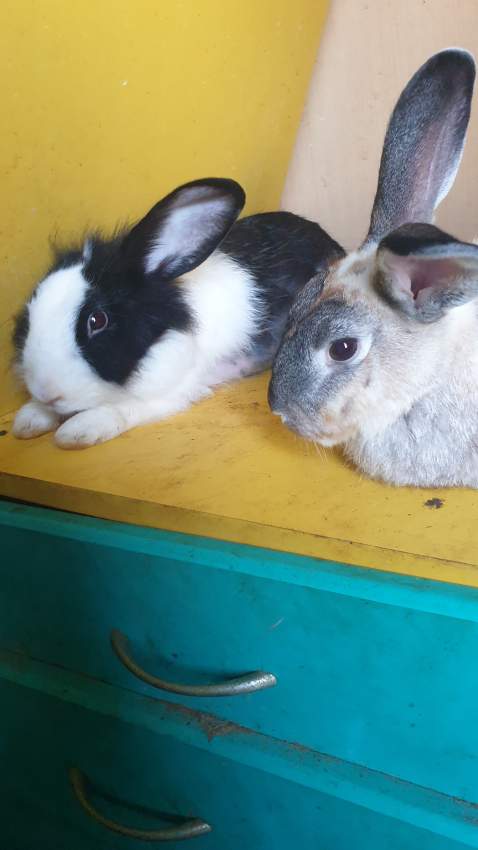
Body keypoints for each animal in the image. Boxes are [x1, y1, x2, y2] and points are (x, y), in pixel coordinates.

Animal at [11, 177, 343, 449]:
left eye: (98, 320)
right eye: (31, 308)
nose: (45, 391)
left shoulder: (174, 391)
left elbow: (123, 408)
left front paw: (78, 431)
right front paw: (29, 419)